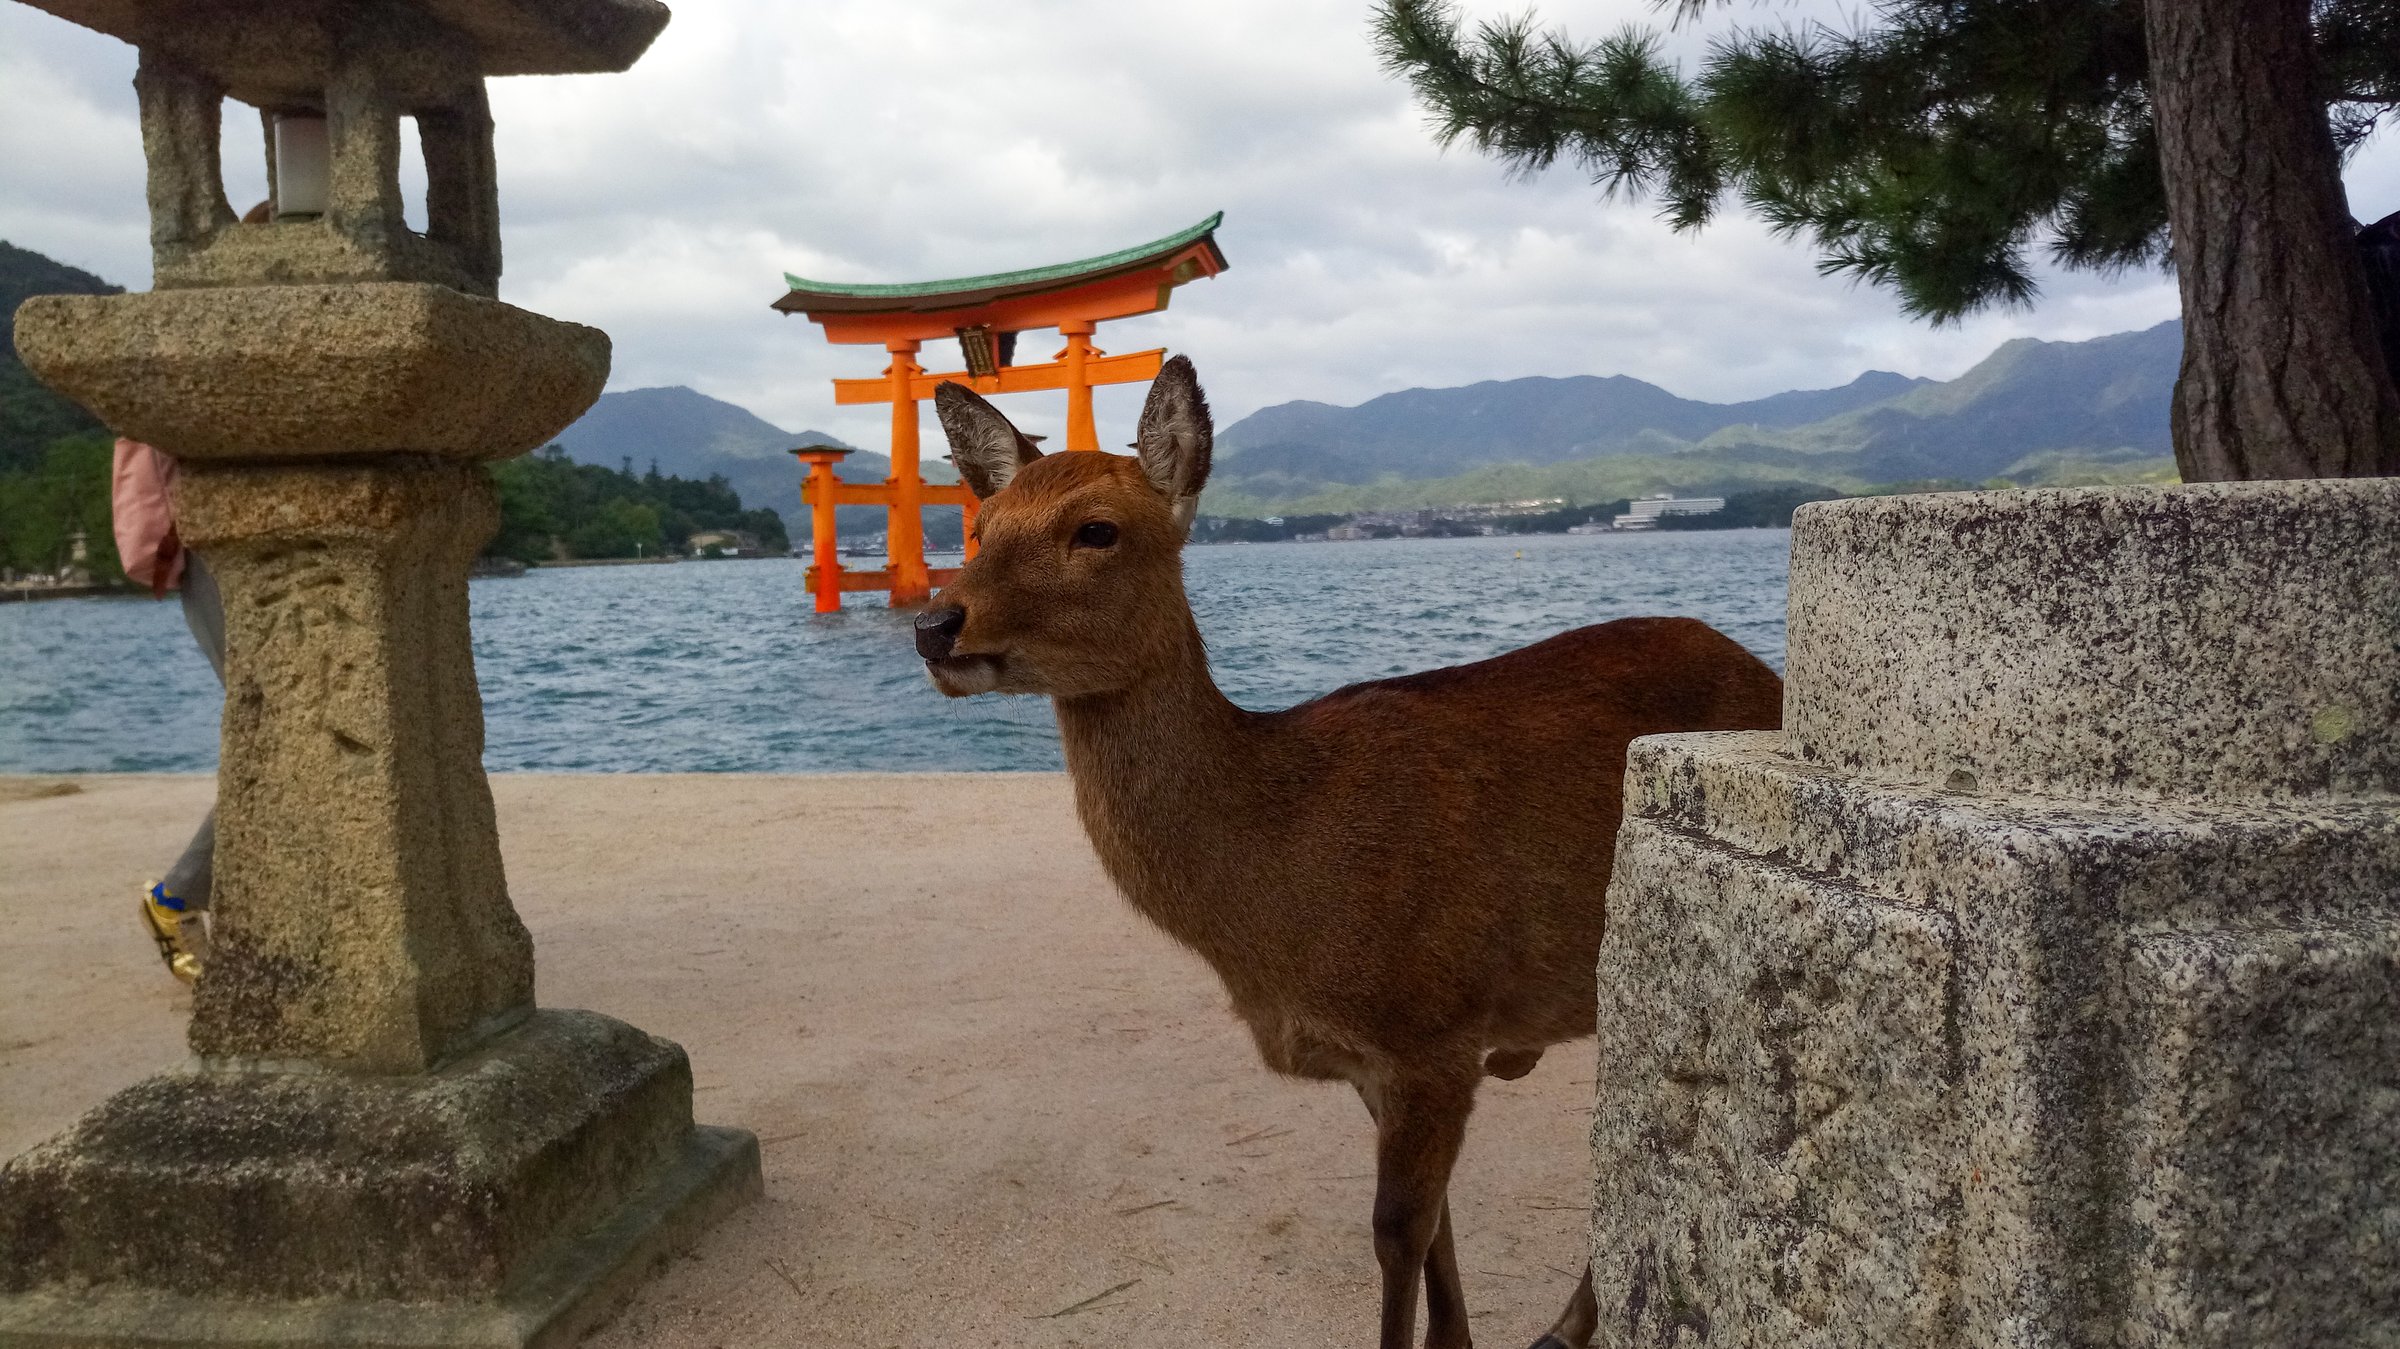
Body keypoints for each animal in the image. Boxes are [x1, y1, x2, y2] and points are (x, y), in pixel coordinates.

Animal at [914, 357, 1784, 1349]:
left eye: (1098, 528)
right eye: (979, 523)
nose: (935, 624)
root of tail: (1771, 675)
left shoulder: (1435, 1028)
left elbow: (1396, 1230)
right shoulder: (1378, 1064)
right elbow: (1438, 1223)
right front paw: (1457, 1340)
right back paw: (1563, 1326)